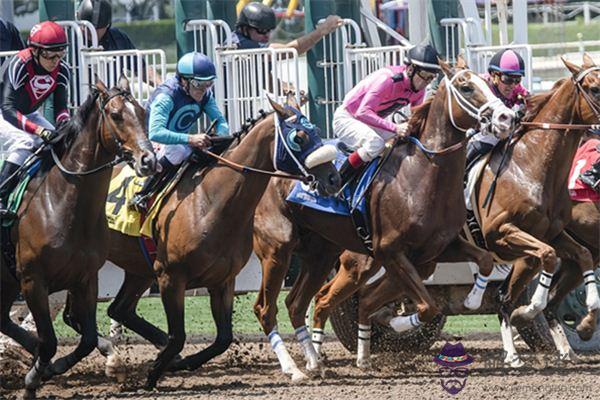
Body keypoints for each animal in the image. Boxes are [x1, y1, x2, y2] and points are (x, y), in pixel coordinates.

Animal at [0, 76, 157, 396]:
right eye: (116, 115)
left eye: (143, 113)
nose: (148, 160)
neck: (62, 203)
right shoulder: (33, 280)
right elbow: (49, 341)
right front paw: (33, 379)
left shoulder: (85, 278)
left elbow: (85, 340)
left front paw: (51, 367)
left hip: (6, 280)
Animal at [102, 95, 338, 390]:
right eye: (300, 137)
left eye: (317, 131)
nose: (334, 178)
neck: (210, 201)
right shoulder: (171, 277)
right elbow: (178, 336)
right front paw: (153, 375)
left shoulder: (223, 280)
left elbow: (223, 338)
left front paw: (180, 362)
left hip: (139, 269)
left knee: (118, 308)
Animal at [251, 57, 512, 380]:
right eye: (466, 87)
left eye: (488, 84)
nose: (506, 117)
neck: (423, 174)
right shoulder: (391, 251)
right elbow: (426, 306)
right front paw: (399, 324)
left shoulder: (434, 252)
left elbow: (485, 259)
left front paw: (473, 299)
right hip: (277, 252)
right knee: (267, 307)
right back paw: (297, 367)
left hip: (323, 255)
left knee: (301, 303)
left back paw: (318, 360)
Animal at [322, 56, 600, 368]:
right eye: (594, 88)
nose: (505, 117)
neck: (532, 166)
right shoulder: (501, 233)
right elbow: (545, 262)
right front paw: (530, 314)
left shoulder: (551, 233)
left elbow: (577, 256)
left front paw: (586, 319)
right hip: (365, 262)